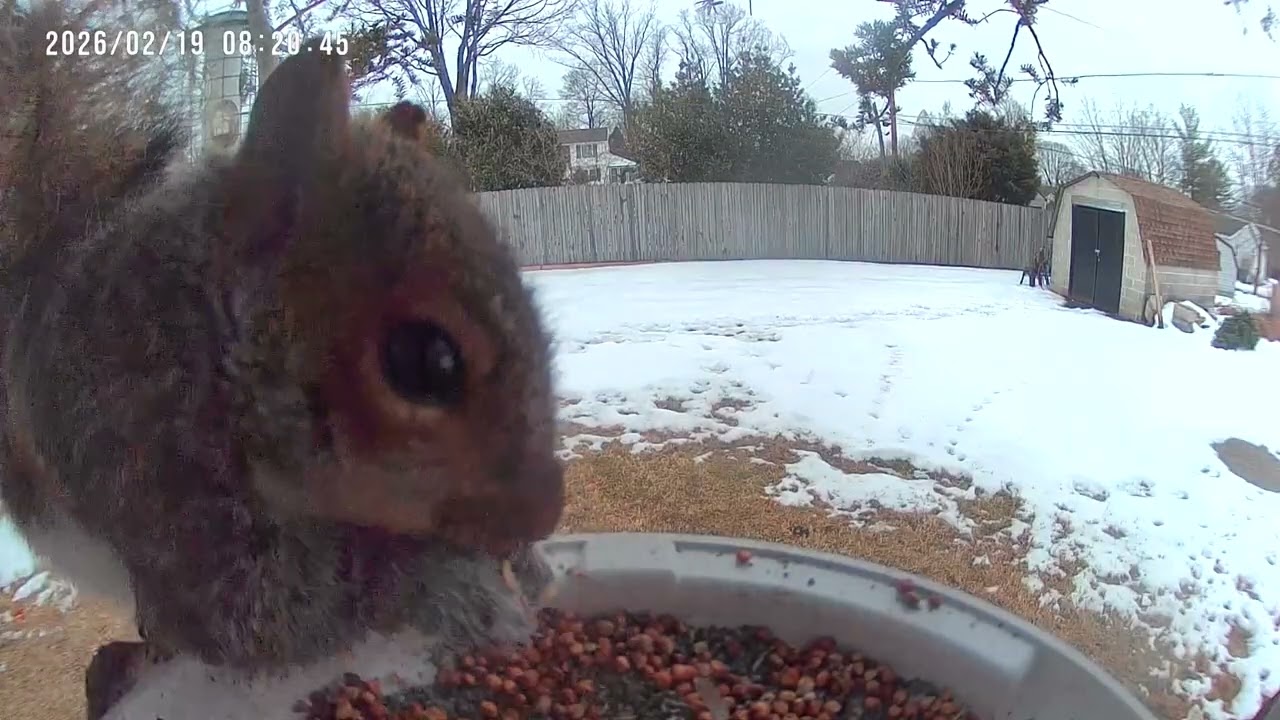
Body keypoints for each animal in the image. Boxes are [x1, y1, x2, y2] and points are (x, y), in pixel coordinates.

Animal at [0, 2, 565, 711]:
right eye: (423, 362)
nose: (548, 512)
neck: (210, 354)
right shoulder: (148, 459)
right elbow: (260, 613)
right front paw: (458, 587)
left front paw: (530, 567)